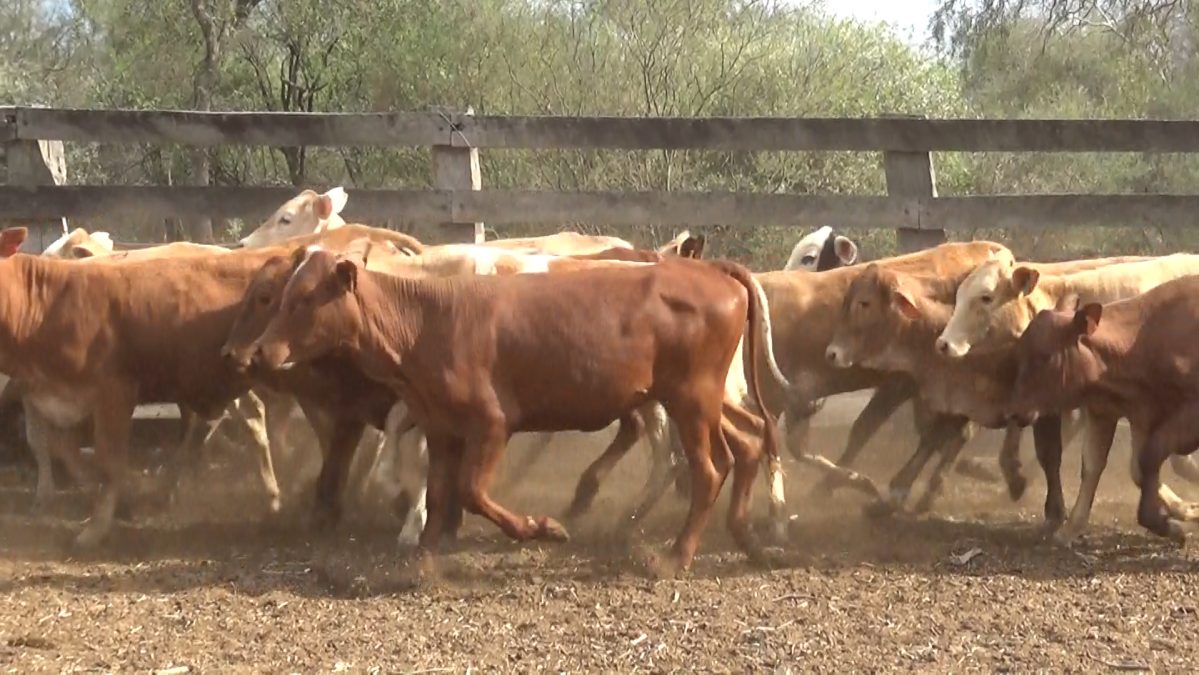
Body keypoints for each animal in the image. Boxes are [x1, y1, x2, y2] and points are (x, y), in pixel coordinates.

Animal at [248, 248, 781, 575]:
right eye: (280, 295)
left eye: (303, 298)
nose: (260, 352)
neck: (424, 321)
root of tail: (712, 270)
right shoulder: (441, 428)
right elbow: (438, 492)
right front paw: (422, 561)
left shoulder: (492, 424)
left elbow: (470, 491)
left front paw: (545, 529)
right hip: (706, 399)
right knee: (752, 438)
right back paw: (749, 540)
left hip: (690, 399)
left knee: (710, 469)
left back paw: (675, 557)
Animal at [1002, 276, 1199, 546]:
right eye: (1019, 355)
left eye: (1047, 357)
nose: (1014, 412)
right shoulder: (1117, 412)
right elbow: (1102, 466)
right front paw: (1071, 527)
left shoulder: (1185, 416)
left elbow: (1148, 458)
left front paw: (1164, 522)